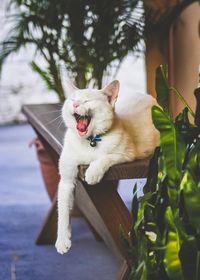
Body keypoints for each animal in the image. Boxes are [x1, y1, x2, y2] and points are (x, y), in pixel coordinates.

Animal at [54, 80, 159, 255]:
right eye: (72, 99)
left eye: (86, 100)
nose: (75, 104)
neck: (90, 141)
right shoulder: (66, 180)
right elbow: (62, 213)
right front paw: (62, 241)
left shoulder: (126, 154)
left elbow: (104, 158)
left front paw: (92, 173)